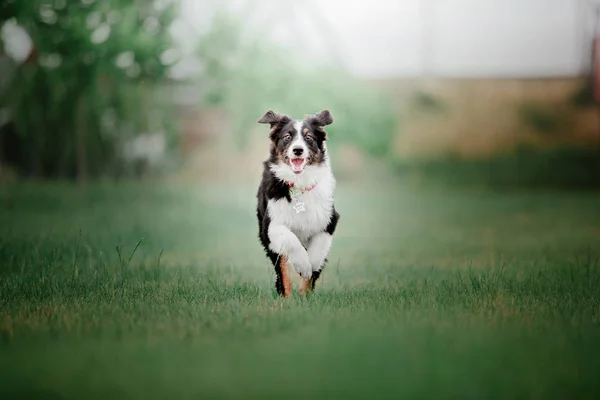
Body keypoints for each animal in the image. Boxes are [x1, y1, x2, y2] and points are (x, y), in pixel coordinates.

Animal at [255, 109, 340, 296]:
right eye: (287, 136)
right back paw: (286, 296)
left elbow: (317, 252)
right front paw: (303, 265)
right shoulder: (270, 226)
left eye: (309, 137)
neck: (299, 183)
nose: (298, 150)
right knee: (282, 271)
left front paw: (310, 269)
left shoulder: (329, 220)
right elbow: (291, 241)